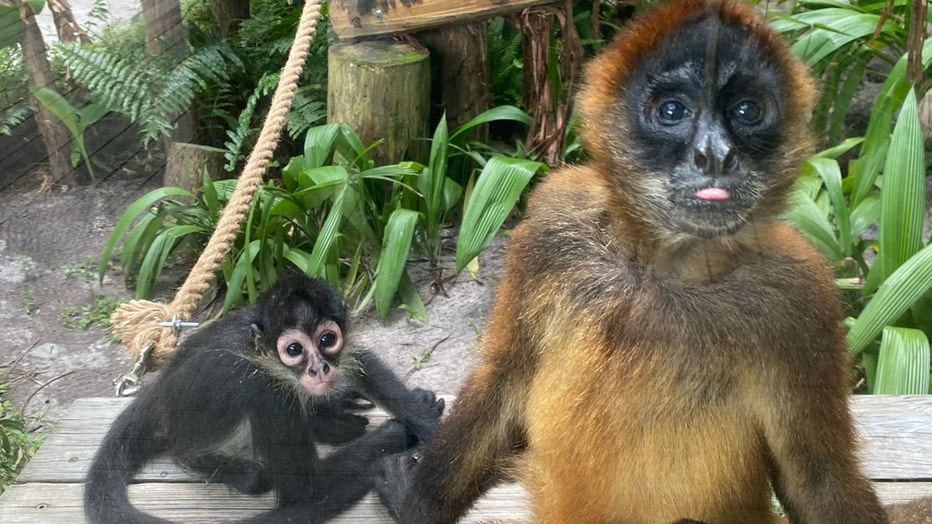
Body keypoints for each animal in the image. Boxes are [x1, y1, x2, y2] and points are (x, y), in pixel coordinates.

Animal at [83, 274, 444, 524]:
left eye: (327, 340)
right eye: (294, 349)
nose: (319, 369)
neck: (262, 355)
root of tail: (157, 395)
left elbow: (363, 364)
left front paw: (421, 417)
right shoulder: (267, 392)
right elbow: (306, 490)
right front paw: (395, 433)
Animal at [376, 1, 888, 524]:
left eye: (746, 111)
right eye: (672, 111)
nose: (715, 156)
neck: (664, 269)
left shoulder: (800, 291)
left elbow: (817, 478)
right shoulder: (553, 230)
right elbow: (504, 382)